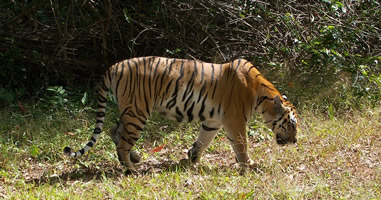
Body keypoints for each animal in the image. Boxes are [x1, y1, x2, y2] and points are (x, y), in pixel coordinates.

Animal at [63, 55, 298, 173]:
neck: (262, 95)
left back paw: (134, 158)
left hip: (131, 111)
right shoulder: (235, 120)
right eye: (292, 124)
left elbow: (204, 139)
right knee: (122, 142)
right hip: (138, 112)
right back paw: (131, 170)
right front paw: (248, 164)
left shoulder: (214, 120)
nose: (295, 141)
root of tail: (113, 67)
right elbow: (241, 144)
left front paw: (192, 157)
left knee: (114, 130)